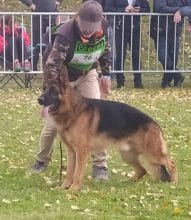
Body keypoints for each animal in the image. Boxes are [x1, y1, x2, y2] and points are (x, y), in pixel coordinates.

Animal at [38, 73, 178, 190]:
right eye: (44, 89)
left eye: (53, 91)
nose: (39, 100)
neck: (73, 109)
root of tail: (154, 123)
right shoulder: (72, 152)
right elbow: (69, 172)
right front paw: (63, 187)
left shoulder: (81, 152)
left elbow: (77, 173)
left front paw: (73, 189)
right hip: (127, 154)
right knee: (142, 170)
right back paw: (126, 183)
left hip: (152, 152)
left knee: (171, 163)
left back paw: (174, 183)